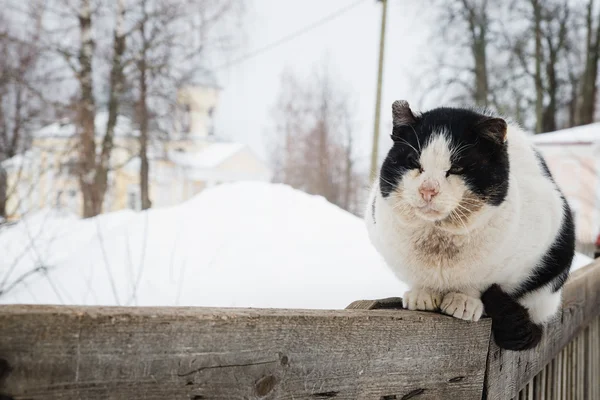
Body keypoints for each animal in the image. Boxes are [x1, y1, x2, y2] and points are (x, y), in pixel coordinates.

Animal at [366, 100, 576, 350]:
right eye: (414, 163)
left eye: (457, 168)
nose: (428, 190)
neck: (439, 244)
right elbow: (420, 280)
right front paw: (422, 294)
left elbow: (480, 283)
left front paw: (464, 300)